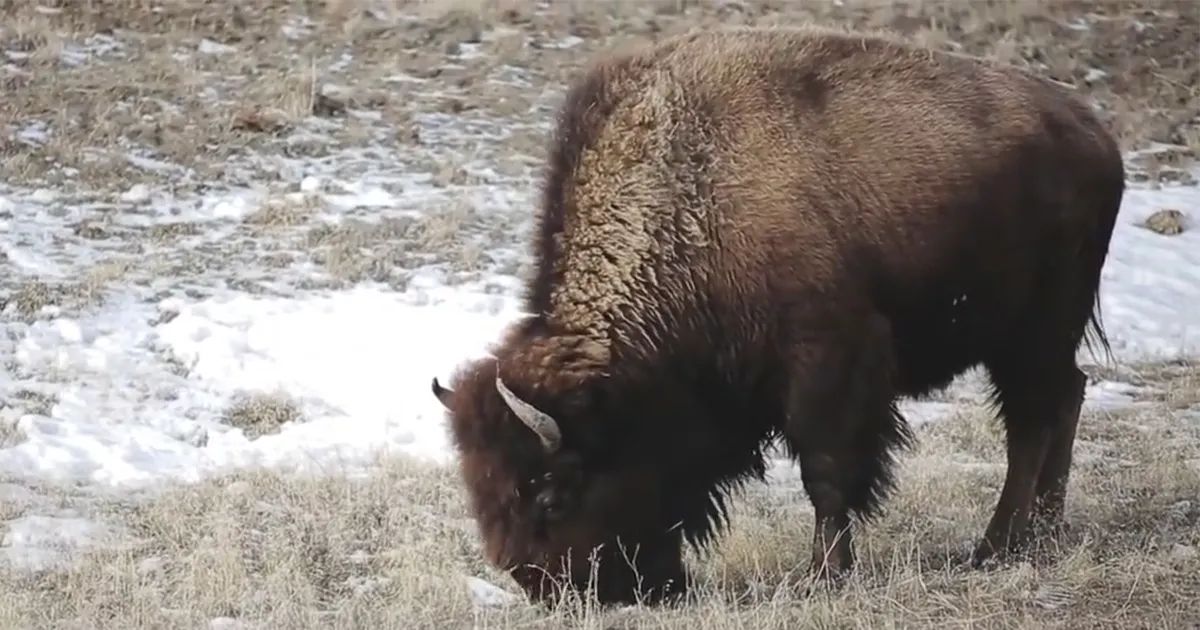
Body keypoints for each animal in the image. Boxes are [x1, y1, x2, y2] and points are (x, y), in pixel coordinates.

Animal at [432, 25, 1124, 606]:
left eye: (551, 493)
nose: (549, 590)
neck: (695, 200)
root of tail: (1096, 137)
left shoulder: (828, 362)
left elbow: (827, 473)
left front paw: (824, 575)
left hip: (1032, 332)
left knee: (1031, 422)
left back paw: (995, 547)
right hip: (1032, 339)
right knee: (1065, 399)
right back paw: (1041, 534)